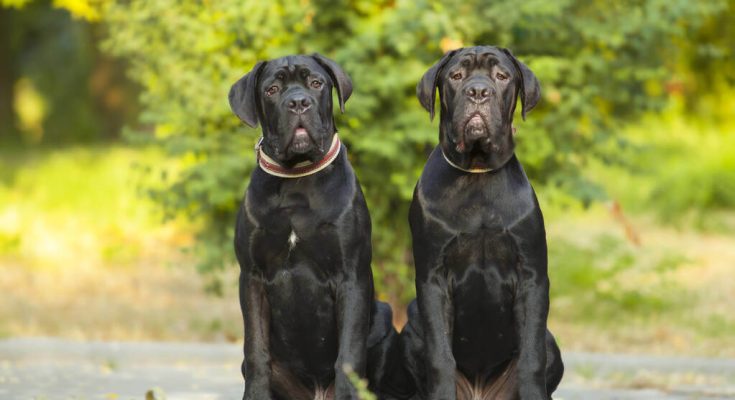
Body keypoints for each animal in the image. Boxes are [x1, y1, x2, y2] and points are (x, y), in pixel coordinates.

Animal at [231, 54, 400, 400]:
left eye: (316, 83)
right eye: (272, 89)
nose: (298, 102)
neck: (298, 178)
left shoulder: (351, 277)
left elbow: (348, 356)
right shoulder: (252, 277)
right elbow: (255, 352)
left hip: (385, 319)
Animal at [402, 45, 564, 398]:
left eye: (501, 76)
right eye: (456, 75)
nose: (478, 92)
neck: (477, 175)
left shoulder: (532, 278)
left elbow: (531, 357)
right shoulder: (433, 280)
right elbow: (440, 358)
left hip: (551, 339)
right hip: (411, 324)